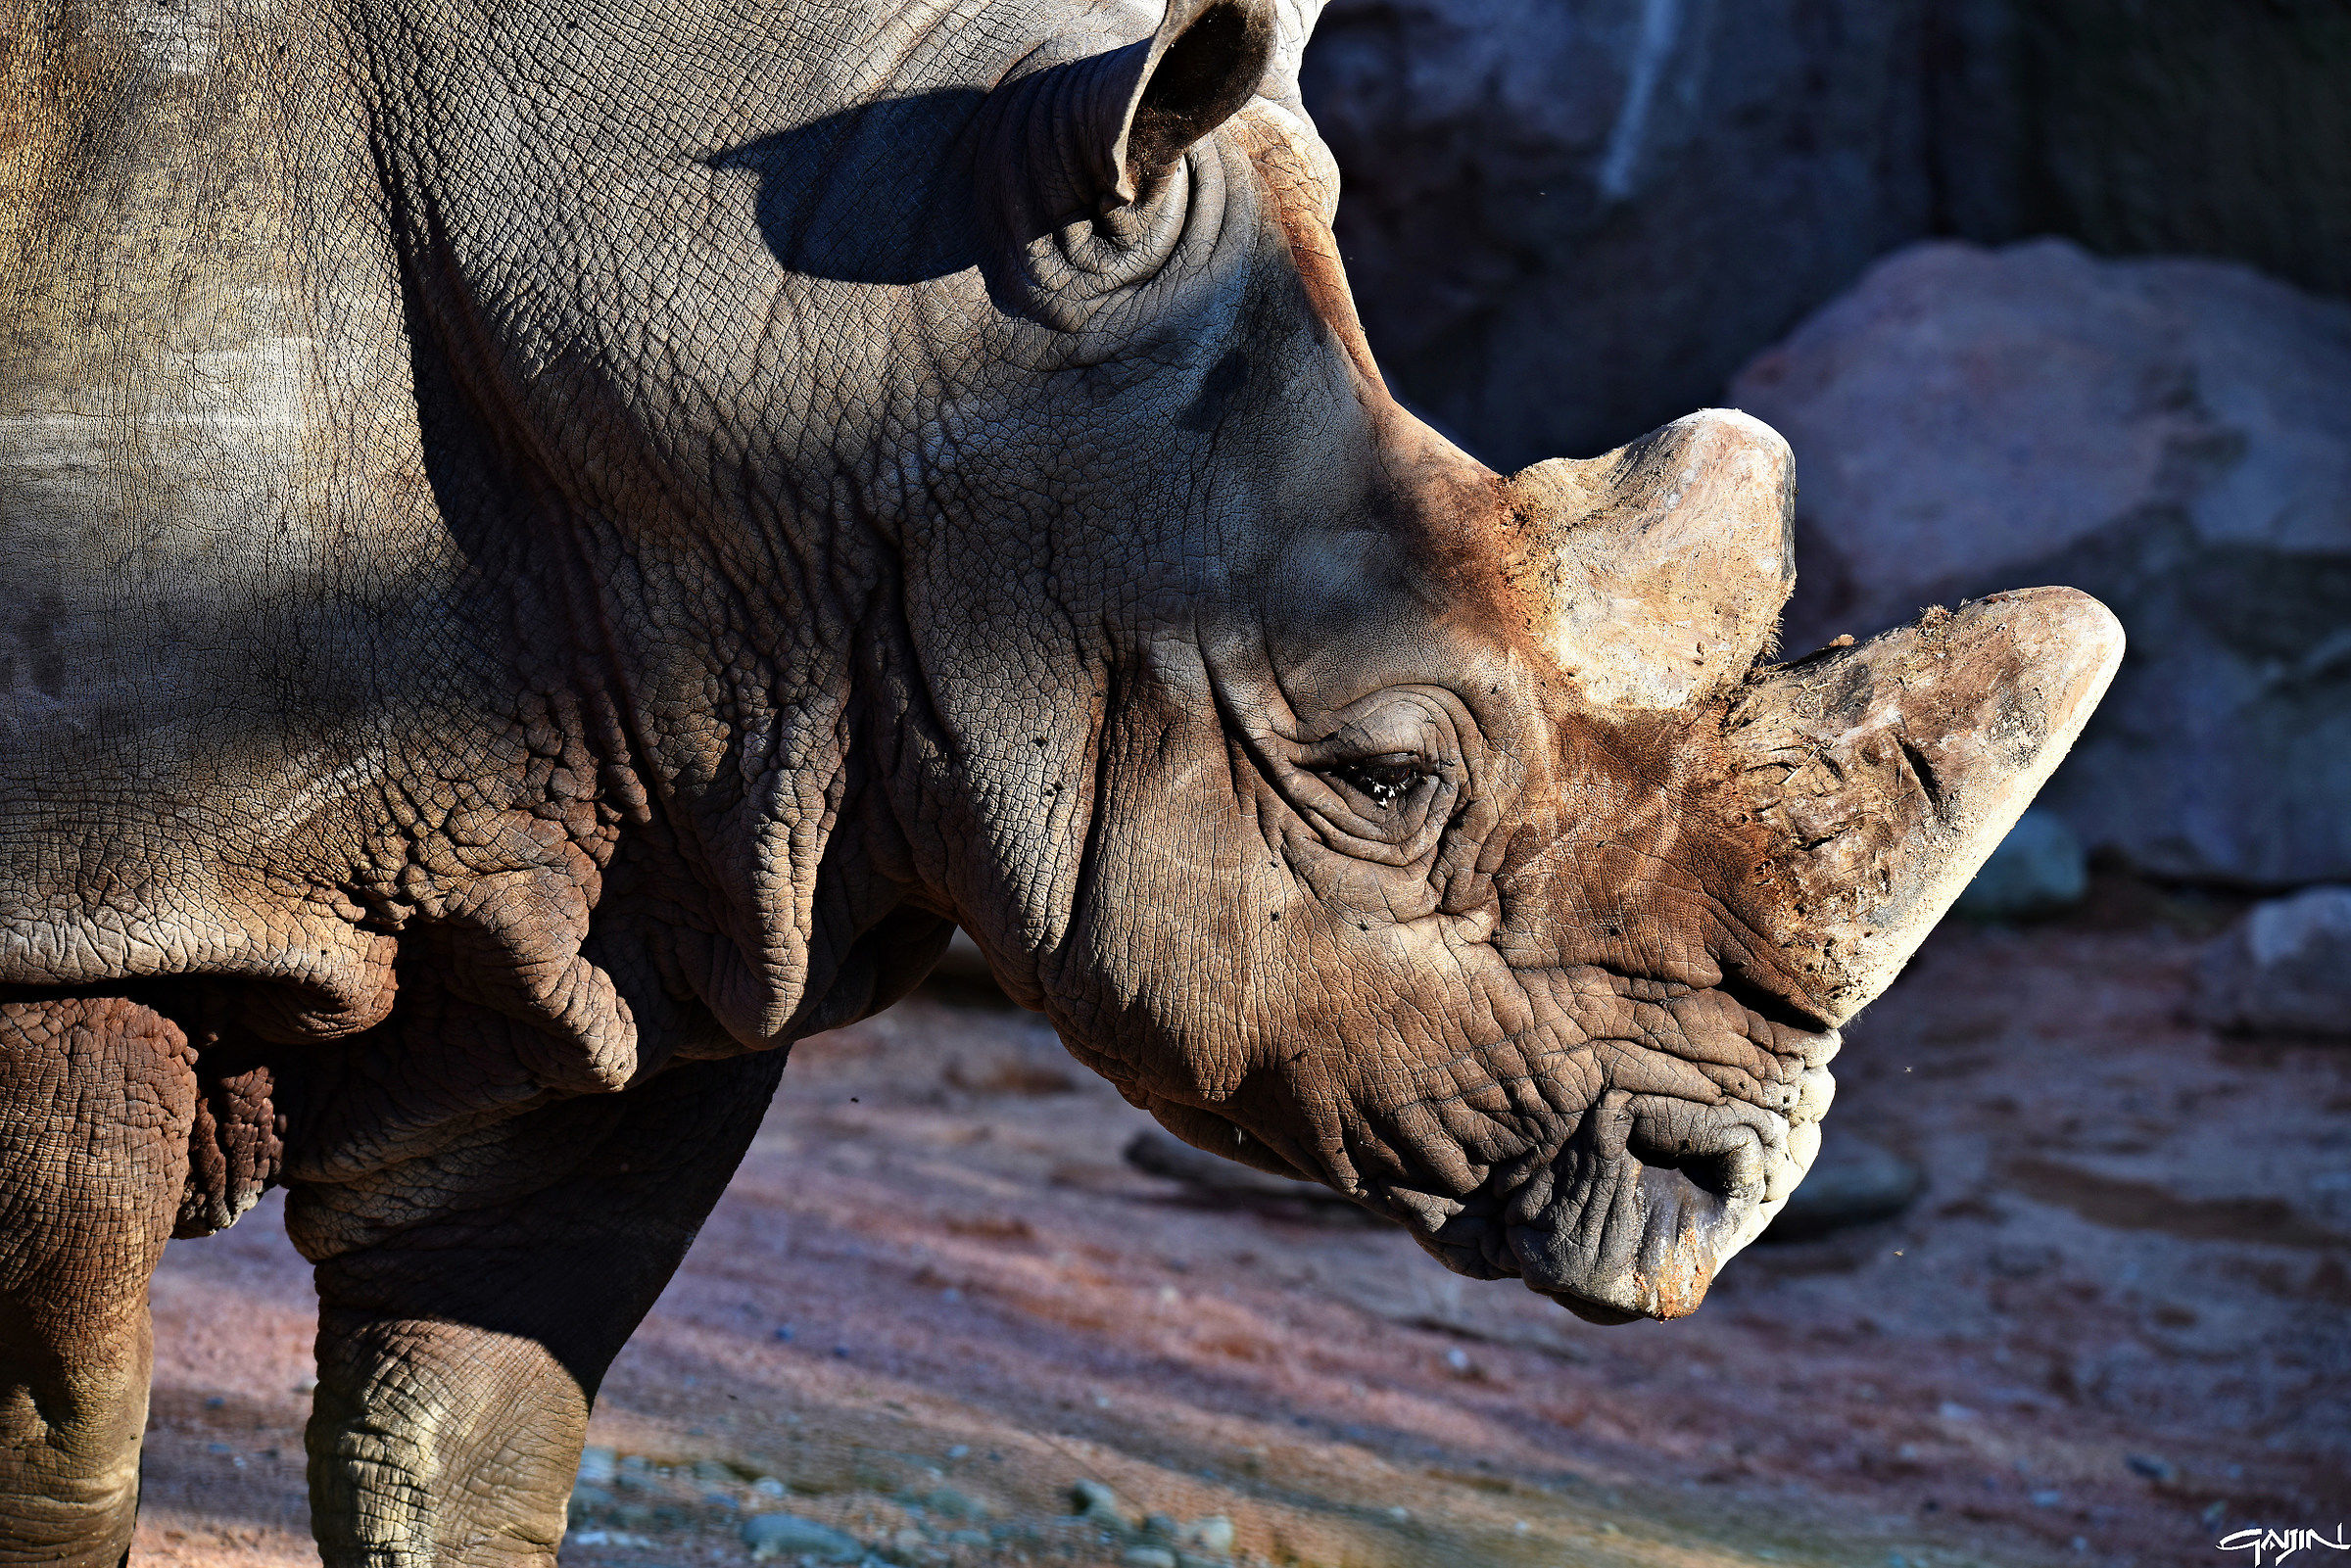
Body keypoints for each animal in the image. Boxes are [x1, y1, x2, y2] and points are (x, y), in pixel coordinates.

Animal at [0, 0, 2120, 1558]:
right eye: (1382, 779)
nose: (1725, 1190)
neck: (836, 362)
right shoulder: (75, 901)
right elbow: (64, 1431)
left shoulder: (668, 858)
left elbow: (468, 1436)